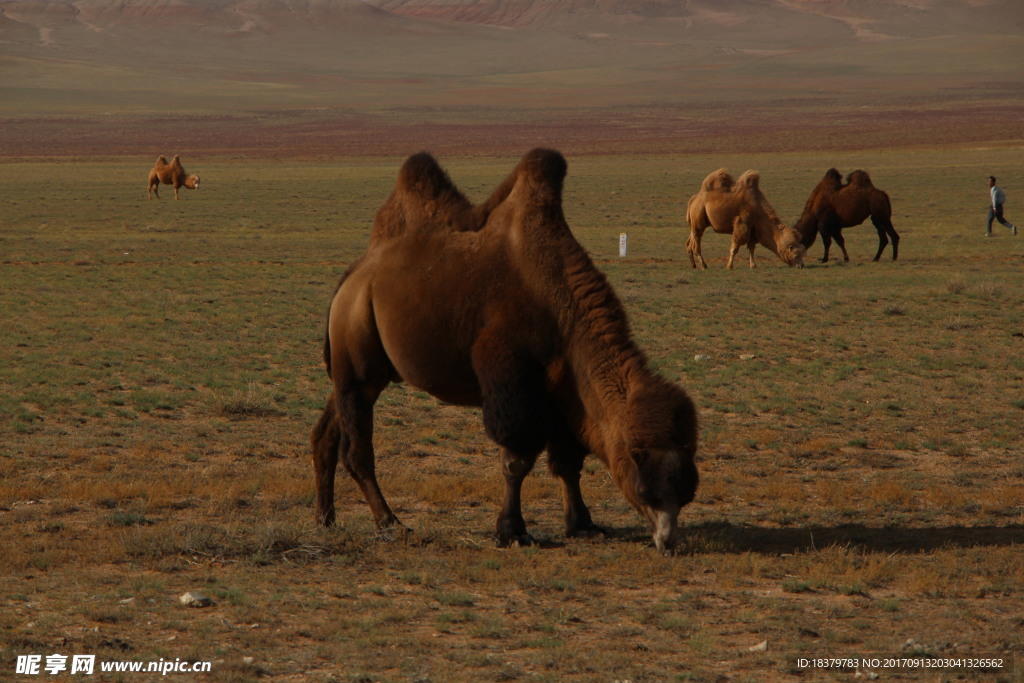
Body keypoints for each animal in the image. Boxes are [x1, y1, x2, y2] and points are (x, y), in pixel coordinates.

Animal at [307, 149, 700, 557]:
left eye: (687, 492)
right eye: (646, 487)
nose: (668, 542)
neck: (560, 308)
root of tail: (353, 277)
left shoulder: (562, 387)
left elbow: (568, 462)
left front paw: (583, 524)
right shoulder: (513, 378)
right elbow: (517, 460)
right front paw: (512, 530)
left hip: (362, 367)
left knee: (327, 433)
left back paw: (325, 518)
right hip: (357, 345)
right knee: (357, 449)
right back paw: (389, 522)